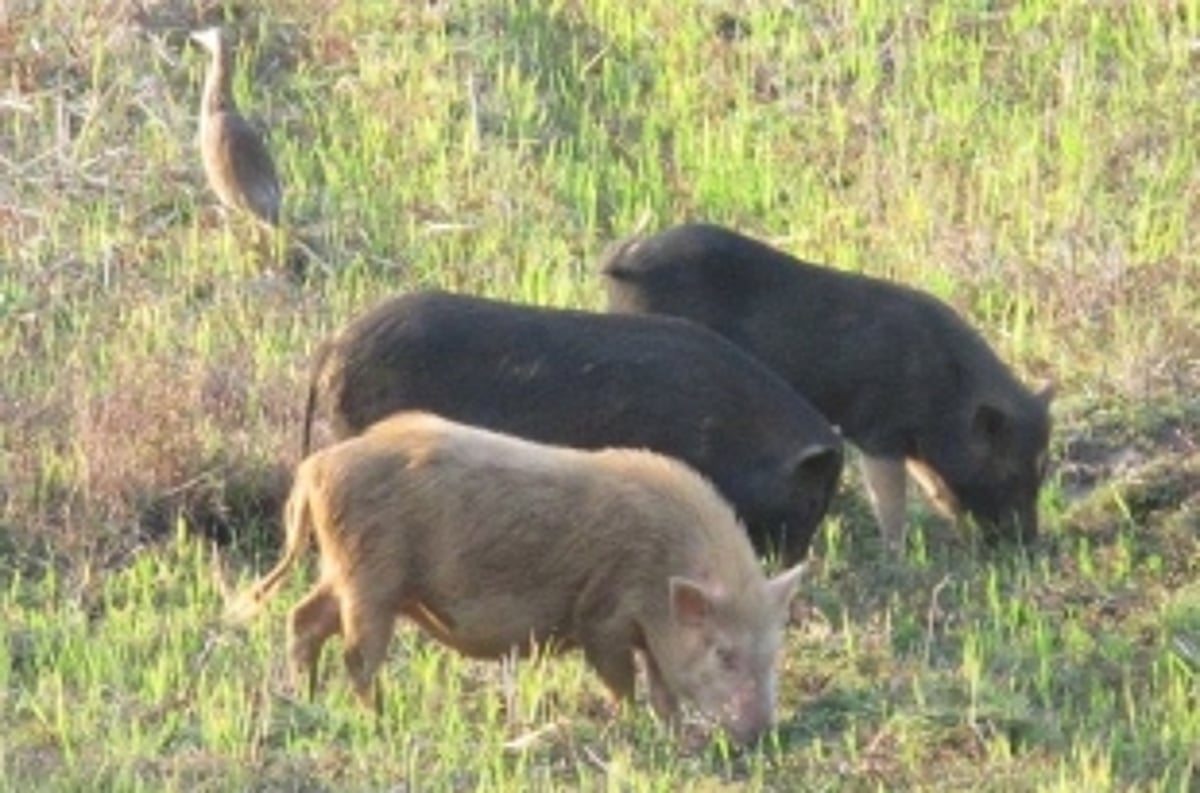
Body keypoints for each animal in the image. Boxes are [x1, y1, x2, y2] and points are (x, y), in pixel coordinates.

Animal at [229, 411, 806, 745]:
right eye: (724, 654)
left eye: (773, 653)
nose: (763, 733)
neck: (667, 565)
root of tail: (317, 466)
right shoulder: (602, 614)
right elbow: (621, 677)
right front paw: (630, 726)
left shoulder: (648, 633)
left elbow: (663, 686)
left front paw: (675, 734)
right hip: (371, 575)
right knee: (357, 653)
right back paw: (379, 721)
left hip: (343, 570)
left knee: (304, 618)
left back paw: (306, 696)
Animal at [602, 222, 1053, 549]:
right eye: (1011, 470)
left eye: (1042, 470)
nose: (1028, 543)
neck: (945, 396)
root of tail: (626, 260)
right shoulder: (878, 432)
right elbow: (890, 496)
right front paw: (898, 553)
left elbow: (932, 484)